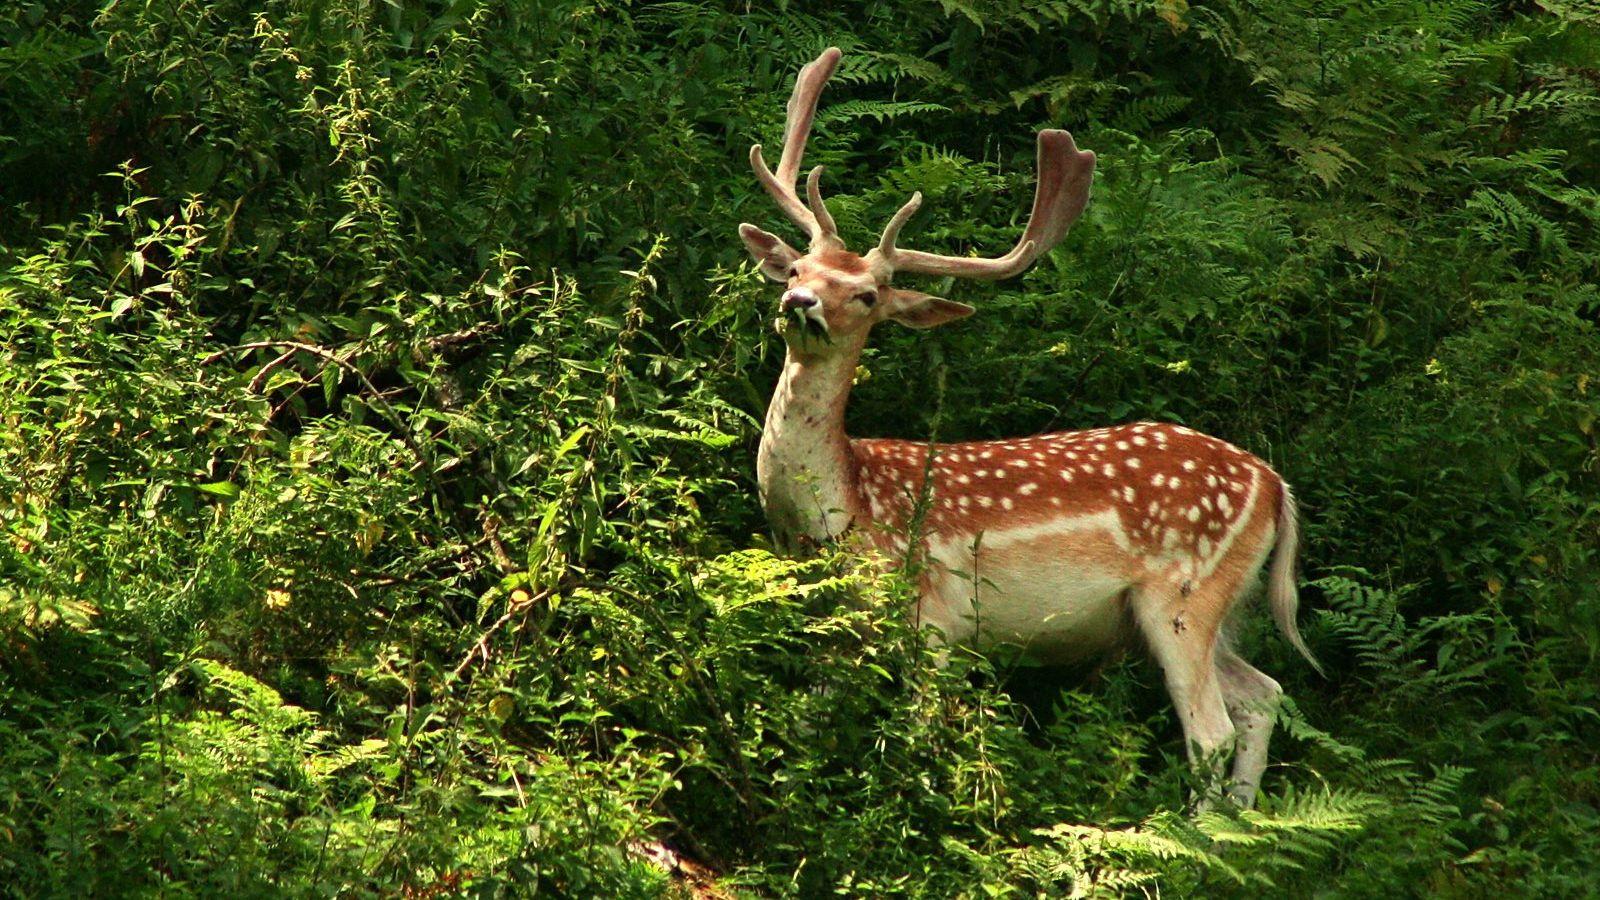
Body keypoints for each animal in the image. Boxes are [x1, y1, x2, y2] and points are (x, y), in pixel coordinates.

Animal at [738, 48, 1322, 809]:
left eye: (867, 295)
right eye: (799, 268)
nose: (800, 302)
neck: (843, 512)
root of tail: (1275, 485)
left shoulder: (930, 618)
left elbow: (917, 735)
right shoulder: (842, 628)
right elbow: (805, 720)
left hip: (1184, 593)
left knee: (1213, 728)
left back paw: (1188, 827)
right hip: (1225, 605)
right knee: (1263, 695)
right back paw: (1238, 825)